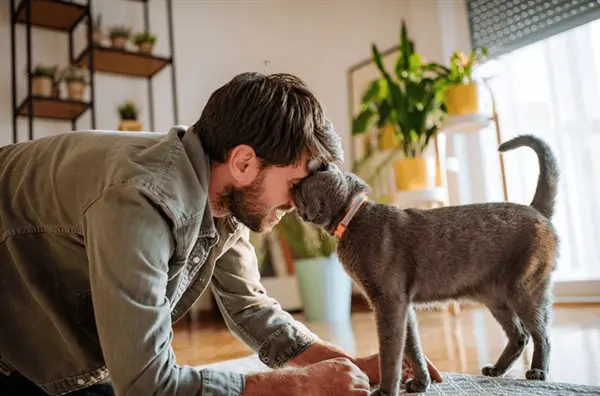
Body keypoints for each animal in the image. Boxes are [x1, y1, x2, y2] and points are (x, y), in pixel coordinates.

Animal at [292, 135, 560, 394]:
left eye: (300, 194)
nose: (297, 209)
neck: (352, 220)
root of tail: (536, 210)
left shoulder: (389, 302)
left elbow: (391, 352)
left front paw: (386, 390)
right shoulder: (402, 304)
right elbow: (411, 346)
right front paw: (422, 382)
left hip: (524, 289)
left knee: (541, 333)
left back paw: (538, 372)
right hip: (495, 298)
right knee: (520, 335)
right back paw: (496, 369)